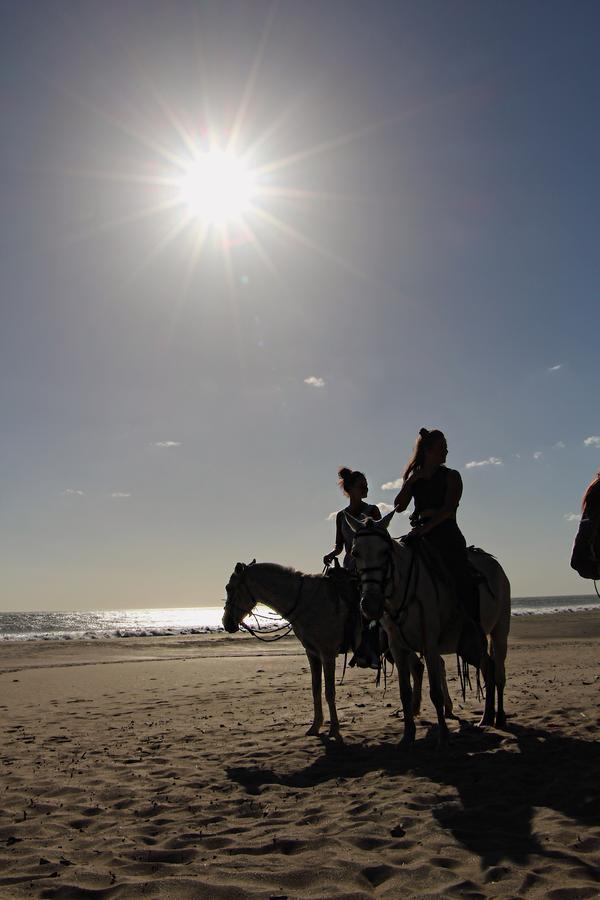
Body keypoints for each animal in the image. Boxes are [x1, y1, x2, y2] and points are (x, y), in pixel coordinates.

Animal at [223, 564, 428, 740]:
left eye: (229, 588)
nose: (226, 623)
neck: (305, 601)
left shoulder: (327, 653)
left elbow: (329, 692)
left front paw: (334, 730)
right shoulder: (312, 654)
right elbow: (316, 690)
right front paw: (315, 726)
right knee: (418, 667)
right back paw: (413, 711)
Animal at [346, 512, 510, 744]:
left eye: (385, 552)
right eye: (355, 552)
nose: (370, 603)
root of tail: (495, 565)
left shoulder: (430, 644)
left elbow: (436, 693)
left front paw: (443, 735)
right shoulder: (397, 647)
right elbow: (404, 692)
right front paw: (408, 735)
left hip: (500, 630)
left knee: (499, 672)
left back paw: (500, 717)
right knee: (488, 666)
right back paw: (486, 717)